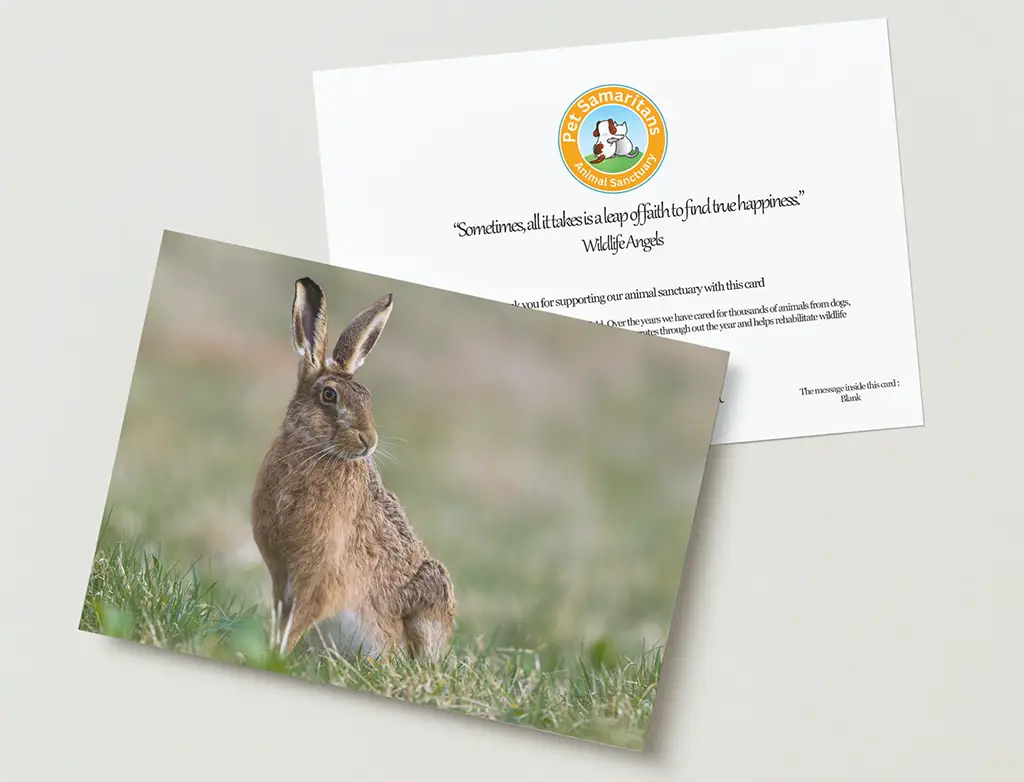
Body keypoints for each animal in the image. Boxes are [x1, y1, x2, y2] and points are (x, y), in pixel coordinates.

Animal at [251, 278, 456, 661]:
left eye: (368, 399)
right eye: (329, 395)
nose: (369, 440)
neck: (314, 451)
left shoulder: (320, 579)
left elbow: (299, 620)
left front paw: (278, 656)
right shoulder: (281, 574)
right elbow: (282, 619)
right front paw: (272, 652)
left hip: (433, 597)